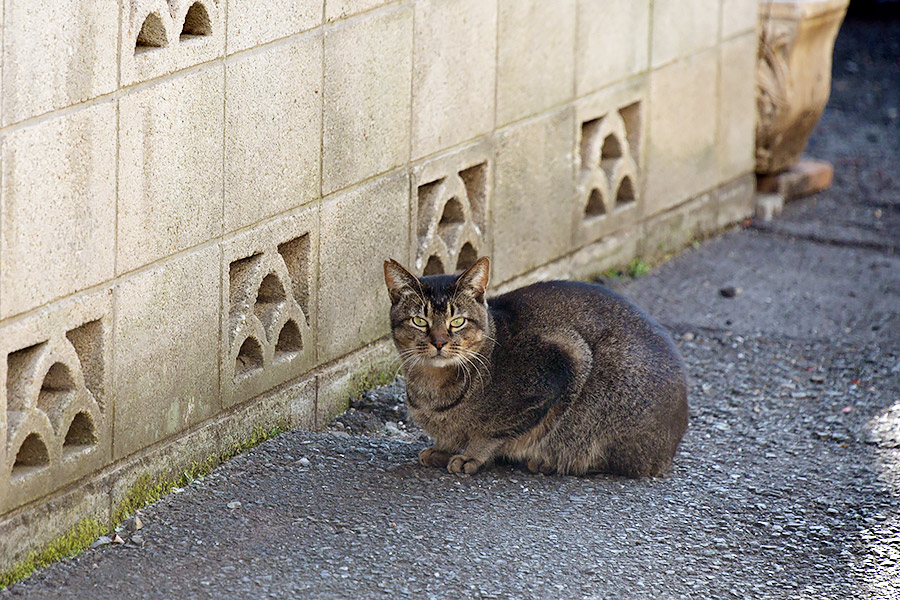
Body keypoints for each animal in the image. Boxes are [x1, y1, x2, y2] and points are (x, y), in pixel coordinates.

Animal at [382, 258, 688, 478]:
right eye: (419, 321)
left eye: (457, 322)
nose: (439, 342)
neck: (432, 387)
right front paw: (442, 449)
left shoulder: (566, 360)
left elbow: (491, 432)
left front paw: (472, 455)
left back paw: (548, 463)